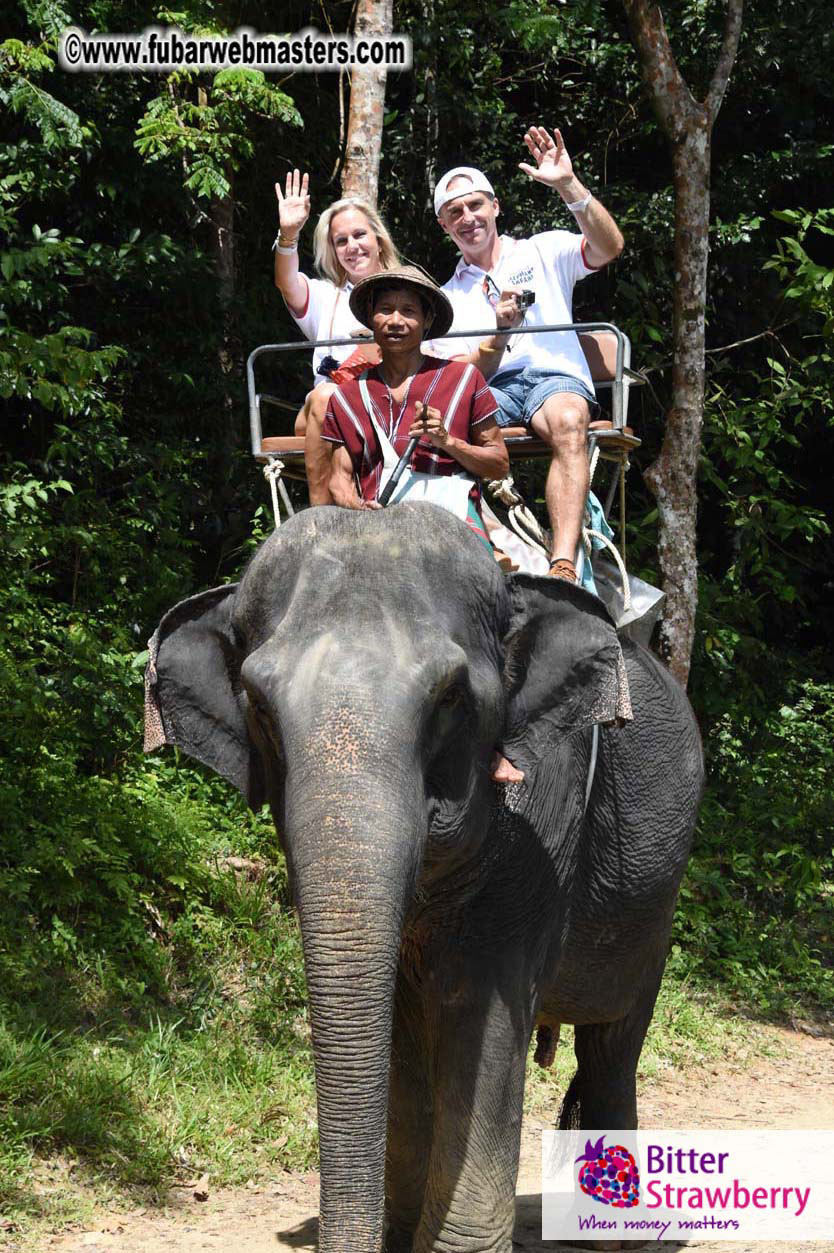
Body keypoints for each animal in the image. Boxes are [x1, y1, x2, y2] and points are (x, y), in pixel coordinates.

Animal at [144, 503, 703, 1253]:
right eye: (258, 703)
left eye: (449, 697)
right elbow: (401, 1024)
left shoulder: (545, 821)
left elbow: (485, 1010)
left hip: (655, 909)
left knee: (612, 1043)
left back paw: (615, 1233)